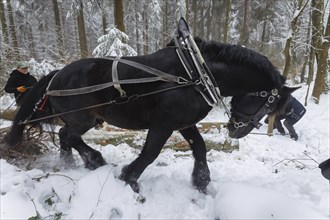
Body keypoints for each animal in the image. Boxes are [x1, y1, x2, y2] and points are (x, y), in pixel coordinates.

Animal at [4, 38, 296, 193]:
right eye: (268, 102)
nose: (237, 129)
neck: (194, 75)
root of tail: (57, 74)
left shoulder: (184, 123)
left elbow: (200, 148)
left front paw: (201, 181)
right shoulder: (163, 123)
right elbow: (150, 153)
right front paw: (129, 178)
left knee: (66, 138)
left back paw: (73, 163)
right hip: (83, 118)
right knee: (69, 134)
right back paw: (94, 160)